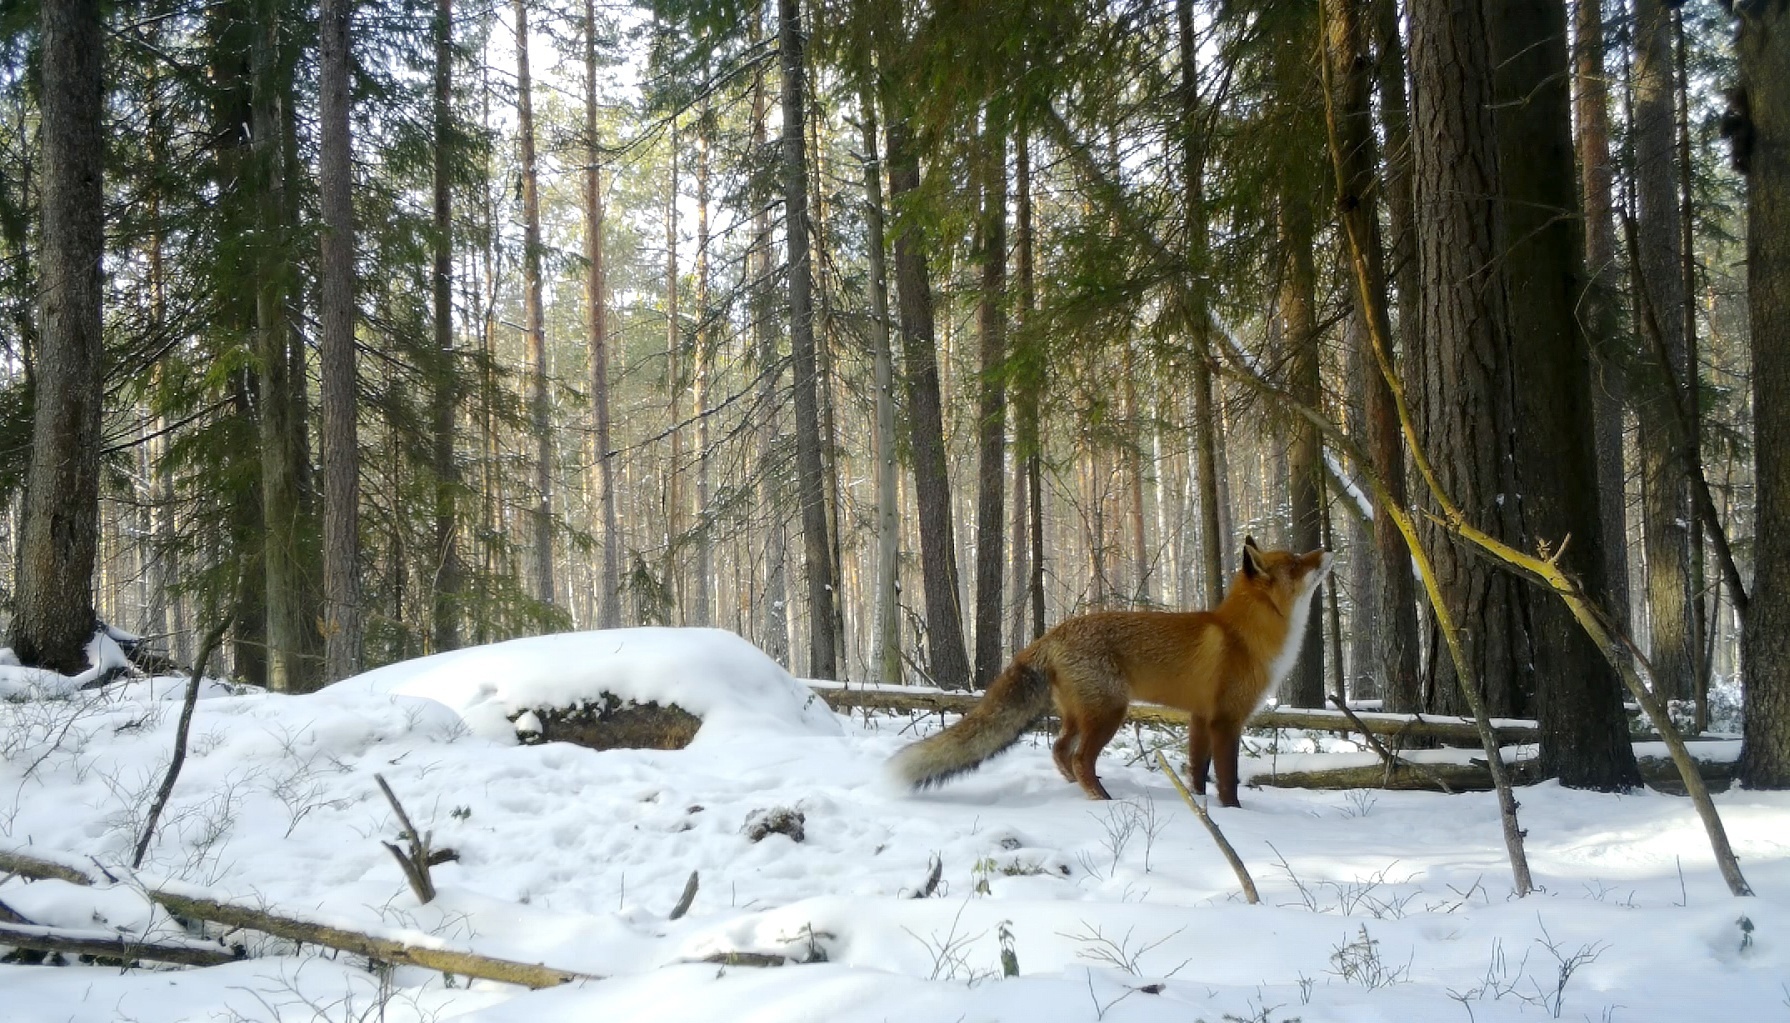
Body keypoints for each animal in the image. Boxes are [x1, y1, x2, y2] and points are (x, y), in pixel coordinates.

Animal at [891, 540, 1331, 811]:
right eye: (1296, 562)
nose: (1328, 549)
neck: (1243, 635)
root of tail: (1050, 633)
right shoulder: (1226, 720)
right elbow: (1228, 779)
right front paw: (1234, 813)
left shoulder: (1199, 717)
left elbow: (1197, 772)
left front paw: (1200, 805)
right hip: (1110, 713)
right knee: (1080, 757)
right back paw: (1101, 799)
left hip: (1079, 714)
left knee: (1059, 749)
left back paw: (1075, 788)